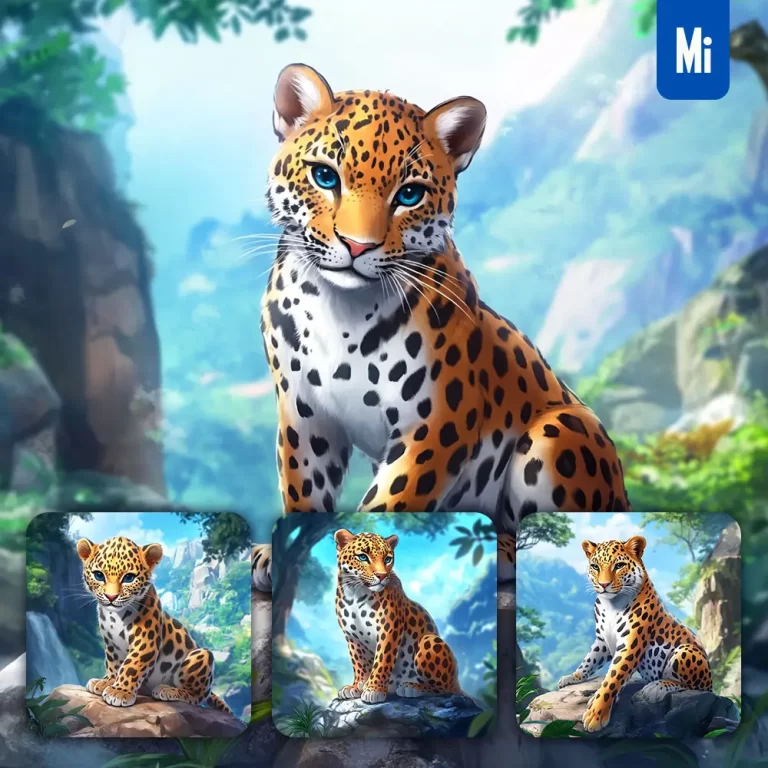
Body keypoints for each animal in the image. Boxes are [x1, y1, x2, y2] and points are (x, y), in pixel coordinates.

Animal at [77, 536, 232, 713]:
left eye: (129, 578)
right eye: (99, 575)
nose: (111, 597)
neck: (114, 616)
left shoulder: (145, 640)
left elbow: (131, 665)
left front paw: (119, 692)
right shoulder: (111, 643)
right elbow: (113, 663)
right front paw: (108, 681)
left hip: (202, 656)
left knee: (197, 696)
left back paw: (167, 690)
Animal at [260, 63, 631, 581]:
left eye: (409, 194)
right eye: (324, 176)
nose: (357, 246)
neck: (341, 309)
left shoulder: (435, 427)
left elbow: (388, 506)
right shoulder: (306, 419)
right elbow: (305, 501)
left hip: (562, 430)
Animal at [333, 528, 461, 703]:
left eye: (387, 559)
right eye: (363, 557)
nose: (381, 576)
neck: (356, 593)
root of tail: (457, 683)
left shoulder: (389, 629)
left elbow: (382, 659)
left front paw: (374, 689)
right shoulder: (351, 636)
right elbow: (358, 662)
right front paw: (356, 686)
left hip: (429, 640)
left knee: (443, 688)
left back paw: (412, 687)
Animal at [558, 536, 712, 733]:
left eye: (619, 565)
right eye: (595, 567)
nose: (604, 585)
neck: (610, 604)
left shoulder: (631, 643)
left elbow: (613, 679)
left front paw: (595, 715)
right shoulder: (602, 640)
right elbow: (590, 659)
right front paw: (573, 677)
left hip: (686, 650)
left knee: (693, 686)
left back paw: (656, 686)